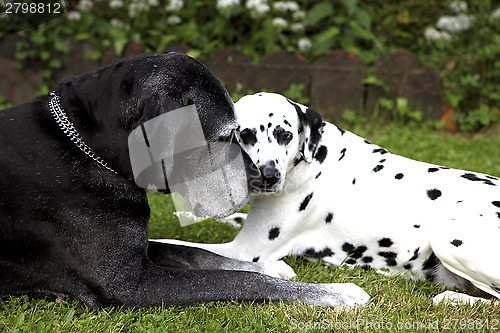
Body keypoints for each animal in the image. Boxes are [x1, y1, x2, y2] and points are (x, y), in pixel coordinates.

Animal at [0, 52, 368, 308]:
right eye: (224, 136)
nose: (265, 176)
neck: (91, 149)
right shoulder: (129, 284)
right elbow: (232, 281)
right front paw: (335, 293)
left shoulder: (141, 252)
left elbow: (198, 255)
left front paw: (270, 267)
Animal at [156, 92, 500, 304]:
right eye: (246, 134)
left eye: (284, 134)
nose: (268, 175)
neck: (312, 157)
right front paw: (187, 214)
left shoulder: (246, 251)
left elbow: (181, 246)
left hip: (450, 236)